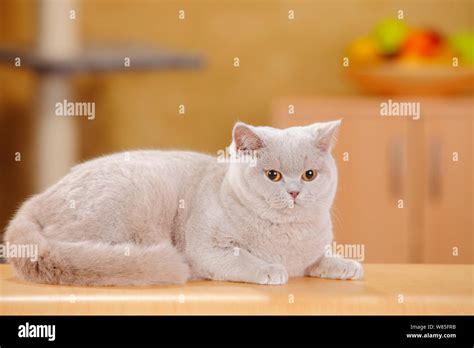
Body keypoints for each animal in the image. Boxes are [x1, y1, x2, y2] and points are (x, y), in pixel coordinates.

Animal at [3, 119, 362, 286]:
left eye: (309, 175)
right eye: (273, 175)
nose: (294, 192)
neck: (287, 236)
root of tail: (36, 201)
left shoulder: (310, 252)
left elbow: (318, 259)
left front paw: (345, 265)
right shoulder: (207, 247)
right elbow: (243, 258)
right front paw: (271, 270)